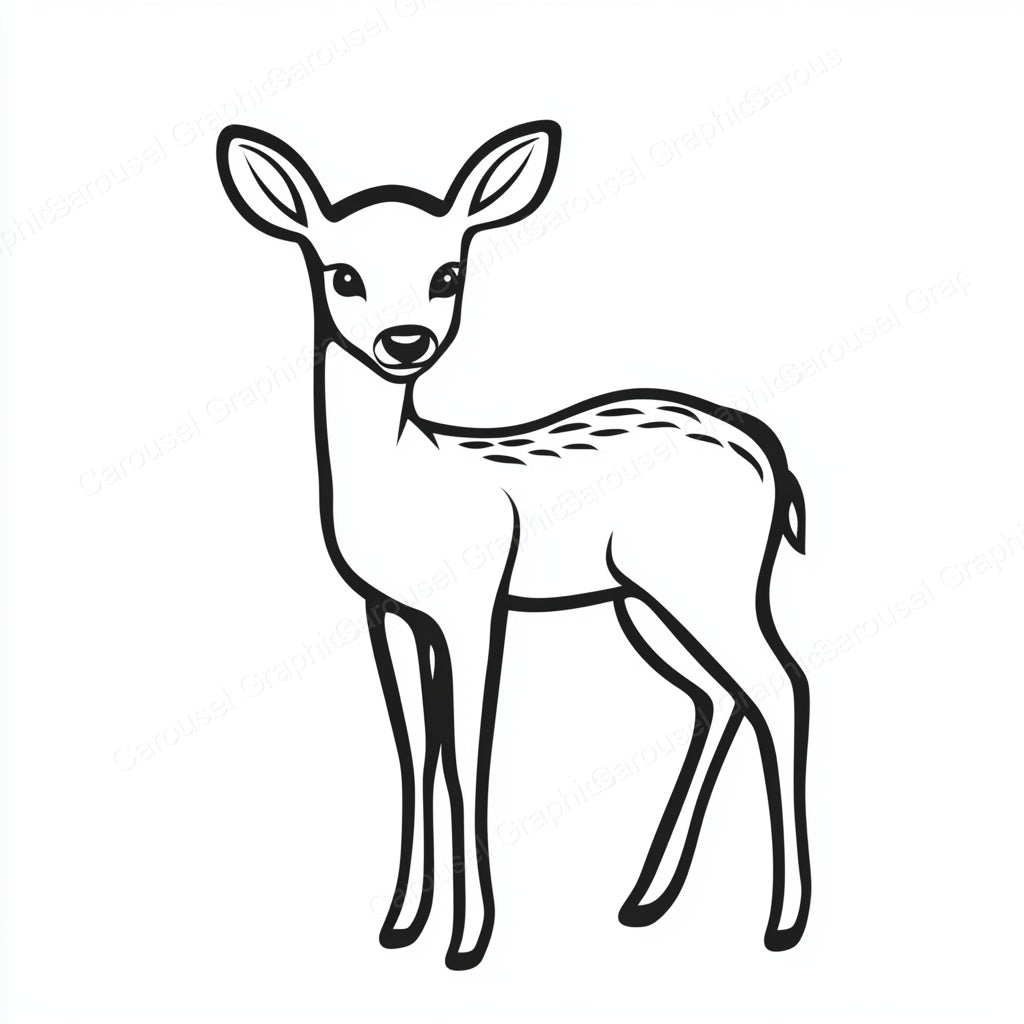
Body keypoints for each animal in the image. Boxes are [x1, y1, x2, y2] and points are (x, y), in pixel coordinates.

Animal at [216, 120, 811, 970]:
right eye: (343, 275)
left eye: (448, 273)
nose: (405, 341)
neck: (409, 476)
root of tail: (769, 456)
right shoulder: (390, 613)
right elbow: (414, 753)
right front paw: (402, 924)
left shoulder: (475, 602)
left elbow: (467, 758)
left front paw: (467, 941)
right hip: (645, 599)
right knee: (720, 695)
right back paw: (646, 899)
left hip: (709, 581)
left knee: (781, 686)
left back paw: (782, 921)